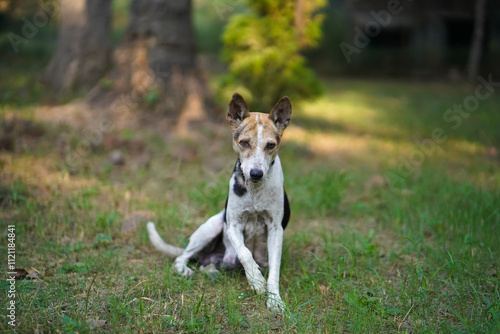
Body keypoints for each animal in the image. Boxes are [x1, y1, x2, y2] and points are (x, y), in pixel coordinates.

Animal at [146, 92, 292, 312]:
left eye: (271, 145)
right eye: (244, 143)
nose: (256, 173)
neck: (255, 191)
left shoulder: (276, 229)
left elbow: (274, 271)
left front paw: (274, 300)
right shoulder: (232, 225)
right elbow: (245, 253)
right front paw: (256, 280)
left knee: (206, 265)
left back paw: (212, 271)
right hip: (212, 226)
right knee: (182, 257)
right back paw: (185, 269)